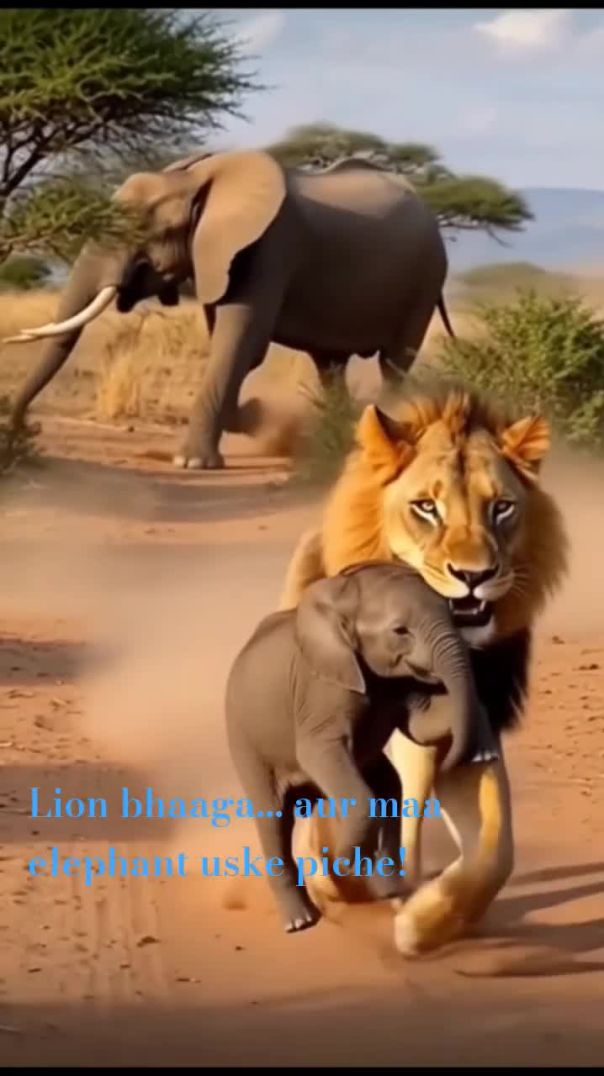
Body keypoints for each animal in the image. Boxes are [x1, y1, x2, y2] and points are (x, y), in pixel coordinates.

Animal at [5, 149, 453, 470]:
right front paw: (254, 417)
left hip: (426, 276)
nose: (24, 426)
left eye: (140, 231)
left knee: (394, 363)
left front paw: (192, 463)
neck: (194, 179)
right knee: (330, 366)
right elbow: (236, 348)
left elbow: (239, 343)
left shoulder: (270, 245)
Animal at [225, 561, 498, 933]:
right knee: (273, 816)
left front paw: (484, 752)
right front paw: (347, 863)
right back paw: (300, 922)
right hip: (244, 739)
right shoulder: (321, 689)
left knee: (389, 786)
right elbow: (318, 752)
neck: (347, 597)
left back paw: (388, 887)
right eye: (400, 630)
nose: (453, 763)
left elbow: (422, 725)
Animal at [281, 381, 568, 955]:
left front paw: (424, 922)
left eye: (502, 508)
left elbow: (495, 849)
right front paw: (339, 878)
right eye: (426, 508)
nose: (474, 576)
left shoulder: (472, 732)